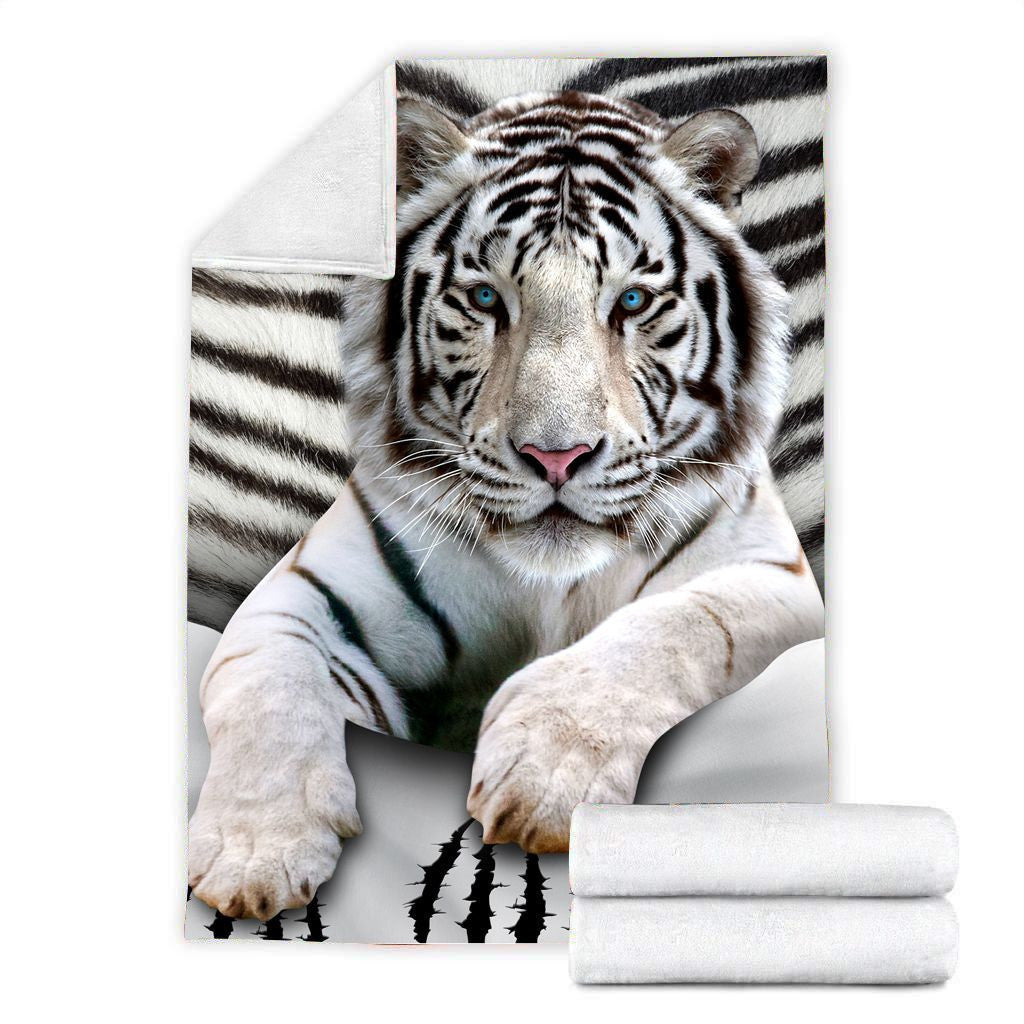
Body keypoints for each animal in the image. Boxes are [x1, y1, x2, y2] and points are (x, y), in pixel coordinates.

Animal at [188, 89, 825, 922]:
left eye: (632, 301)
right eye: (487, 298)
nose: (556, 456)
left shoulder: (773, 575)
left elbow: (673, 627)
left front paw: (546, 777)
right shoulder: (301, 596)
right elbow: (270, 687)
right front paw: (254, 852)